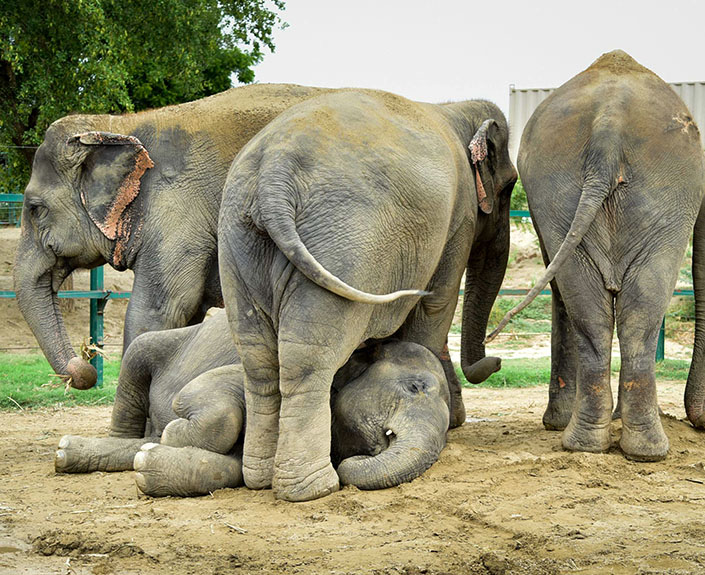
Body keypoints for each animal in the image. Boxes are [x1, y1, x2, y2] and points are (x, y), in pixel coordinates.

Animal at [14, 83, 331, 390]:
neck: (117, 124)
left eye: (35, 209)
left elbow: (156, 313)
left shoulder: (177, 207)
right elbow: (187, 317)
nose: (86, 363)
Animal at [55, 310, 452, 496]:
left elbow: (237, 467)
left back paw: (76, 451)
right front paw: (173, 433)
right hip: (155, 346)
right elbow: (218, 389)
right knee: (137, 358)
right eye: (415, 386)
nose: (348, 465)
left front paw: (149, 464)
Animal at [217, 89, 517, 501]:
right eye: (509, 187)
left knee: (259, 360)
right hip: (344, 246)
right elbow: (435, 304)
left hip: (238, 245)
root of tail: (272, 177)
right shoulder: (458, 220)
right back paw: (315, 487)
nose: (499, 361)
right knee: (307, 360)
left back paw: (260, 479)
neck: (454, 110)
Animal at [486, 50, 705, 461]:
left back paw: (606, 446)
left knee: (613, 311)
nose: (700, 422)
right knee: (624, 312)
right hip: (657, 190)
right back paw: (622, 446)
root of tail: (609, 126)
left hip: (578, 191)